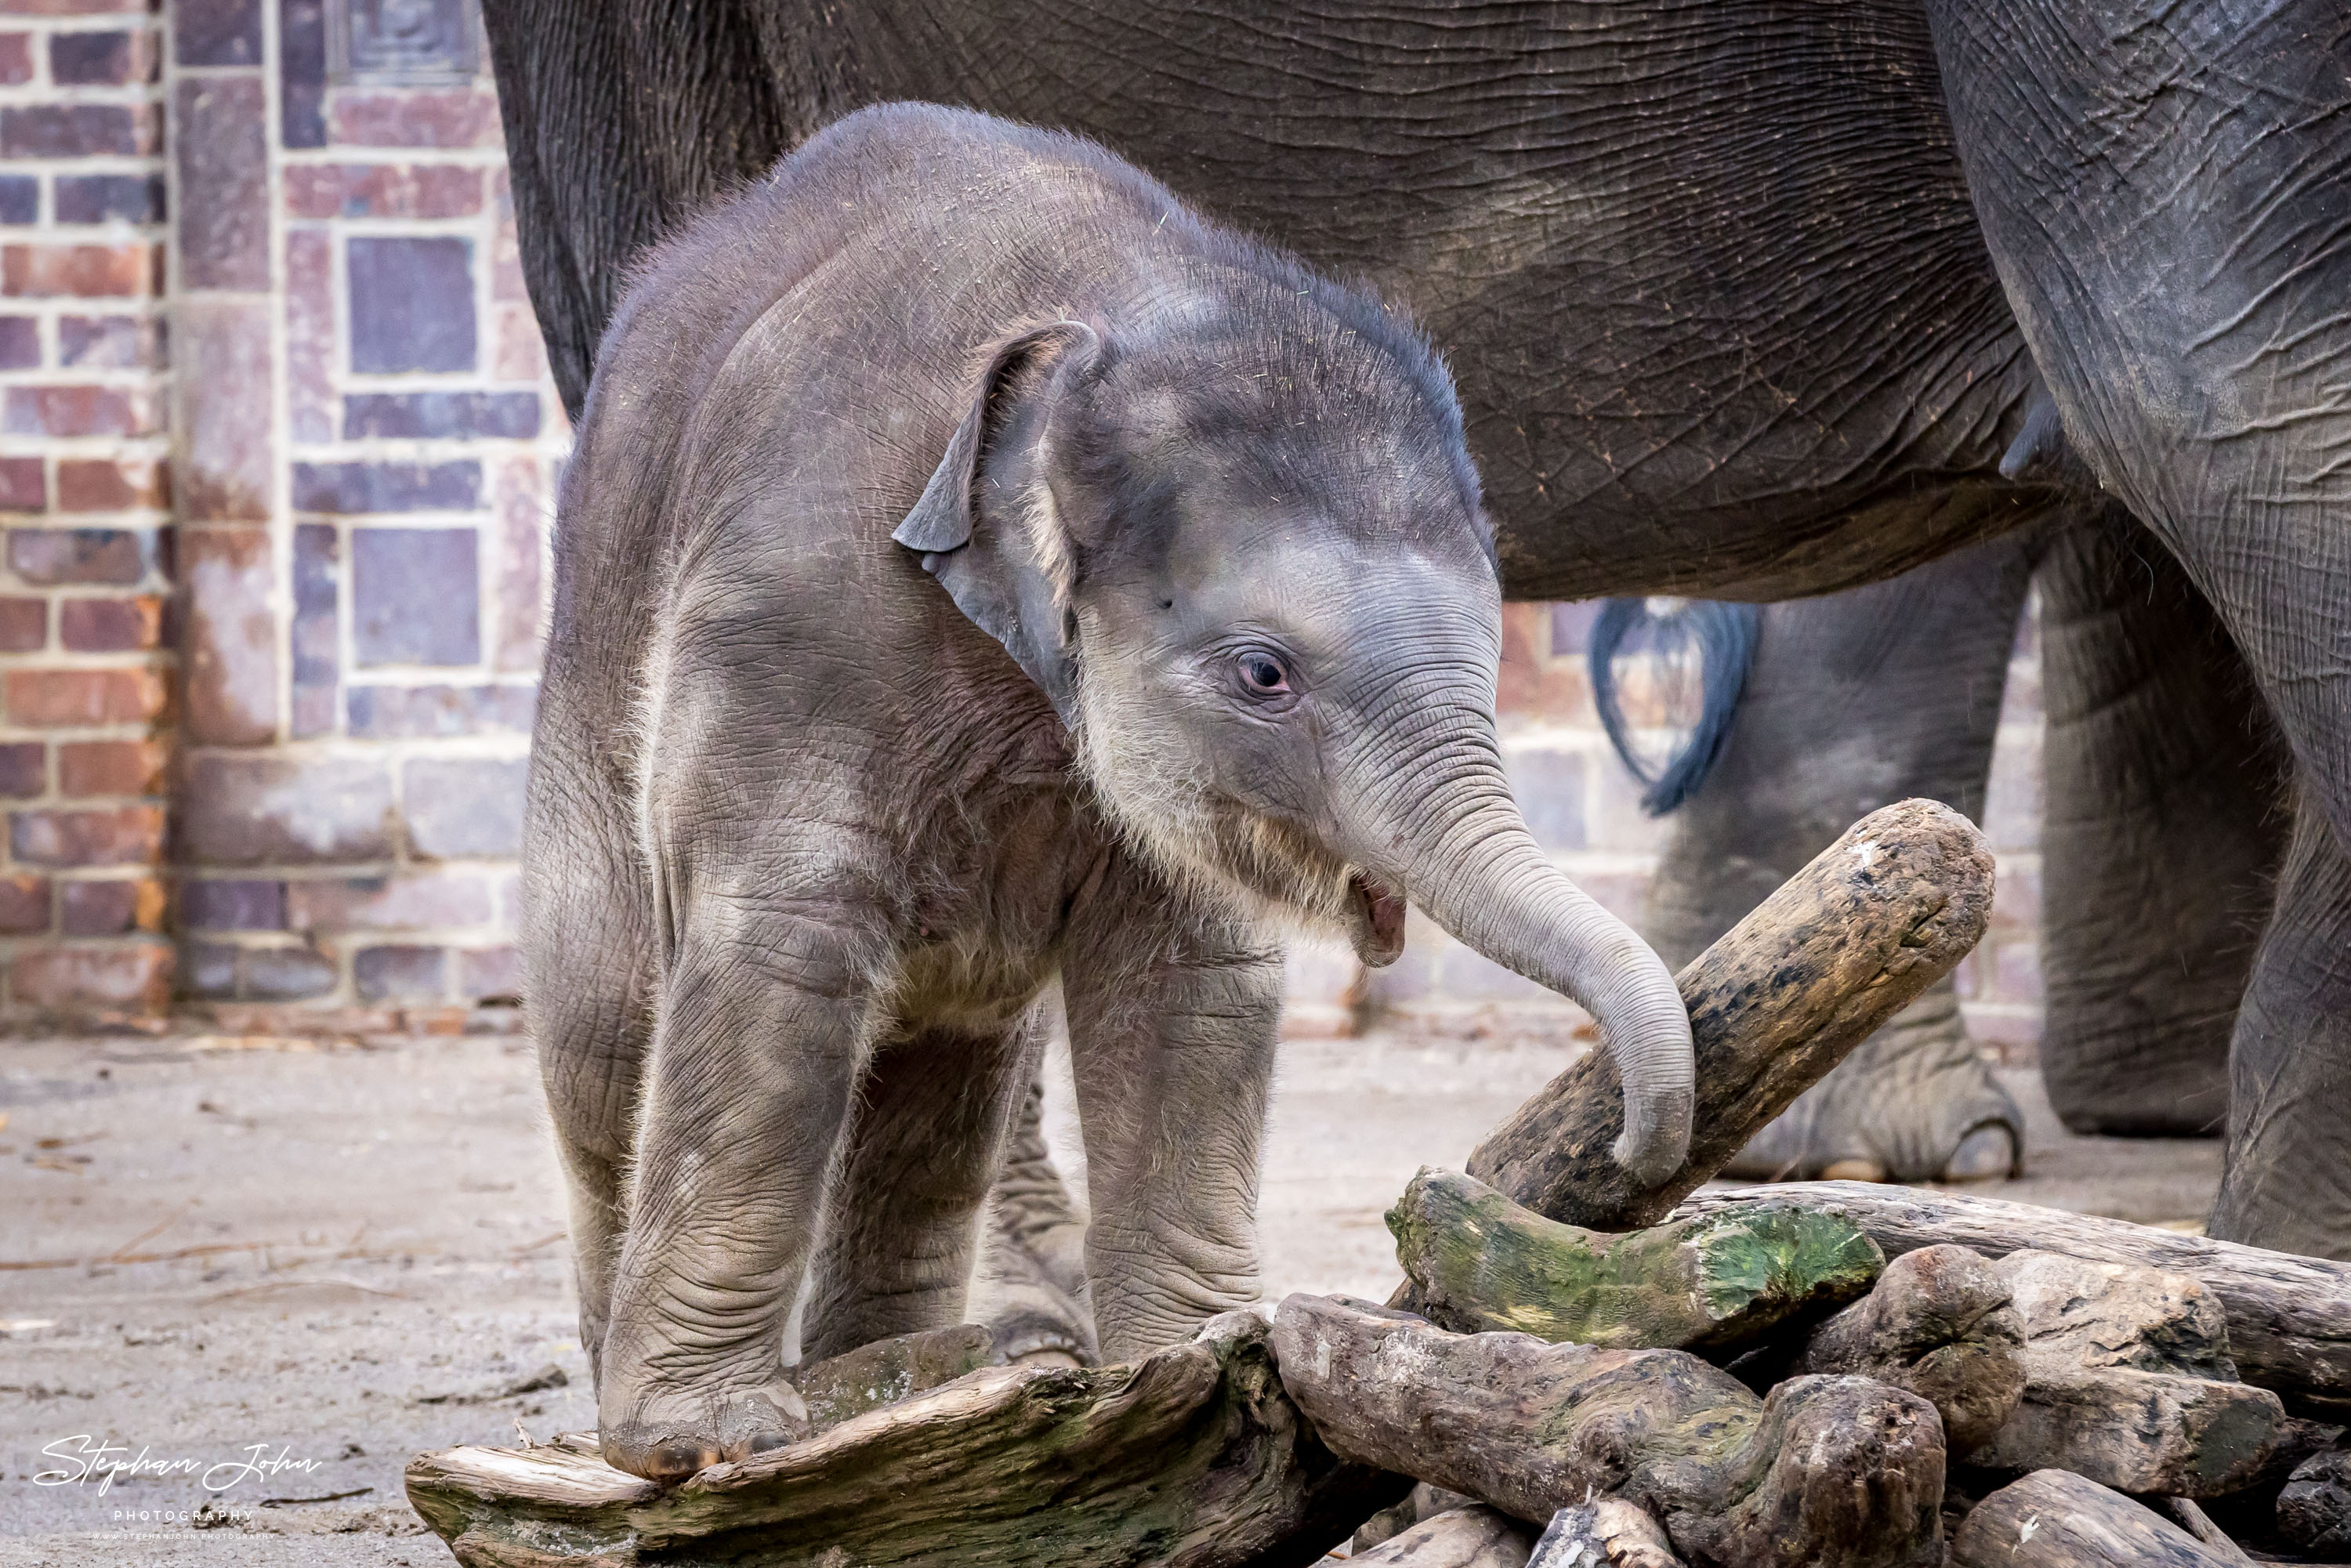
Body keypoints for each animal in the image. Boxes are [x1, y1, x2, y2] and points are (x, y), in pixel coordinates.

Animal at [524, 101, 1693, 1486]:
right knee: (605, 1037)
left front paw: (1209, 1358)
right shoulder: (792, 613)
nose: (1632, 1148)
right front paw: (702, 1442)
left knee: (937, 1099)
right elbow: (781, 957)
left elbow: (1187, 986)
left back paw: (899, 1376)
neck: (1118, 307)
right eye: (1264, 674)